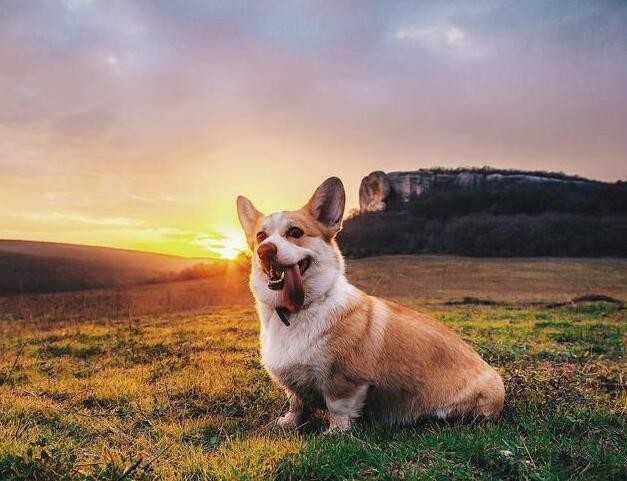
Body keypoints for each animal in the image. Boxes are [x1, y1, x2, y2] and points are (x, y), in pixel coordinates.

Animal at [236, 176, 506, 432]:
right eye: (260, 236)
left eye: (295, 233)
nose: (265, 251)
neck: (297, 311)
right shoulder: (295, 387)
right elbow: (297, 404)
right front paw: (289, 423)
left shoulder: (343, 382)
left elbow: (338, 408)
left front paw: (335, 433)